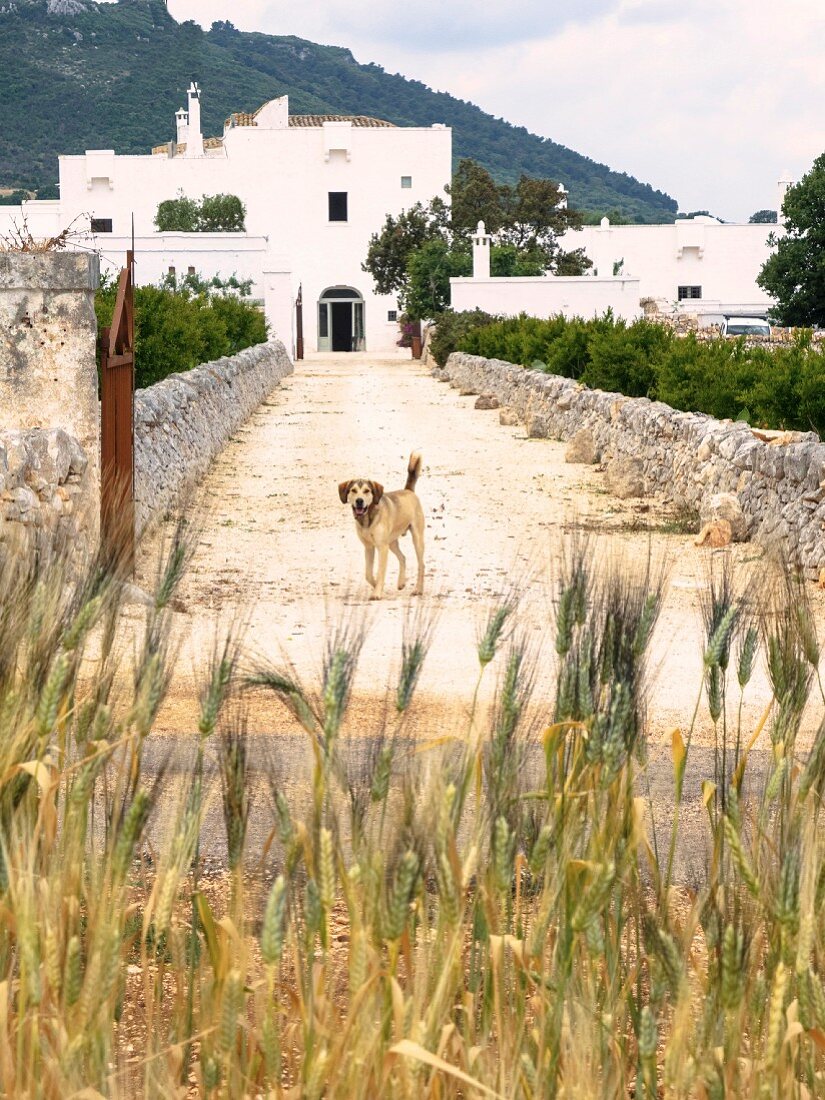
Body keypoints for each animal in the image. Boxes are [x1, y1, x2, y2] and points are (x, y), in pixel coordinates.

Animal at [338, 448, 426, 598]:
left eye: (367, 491)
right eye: (353, 490)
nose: (359, 501)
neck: (367, 519)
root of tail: (408, 490)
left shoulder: (381, 547)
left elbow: (380, 571)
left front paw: (377, 592)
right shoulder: (369, 547)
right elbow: (368, 574)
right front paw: (377, 586)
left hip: (417, 539)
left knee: (422, 564)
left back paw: (418, 589)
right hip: (391, 542)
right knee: (403, 558)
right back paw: (401, 583)